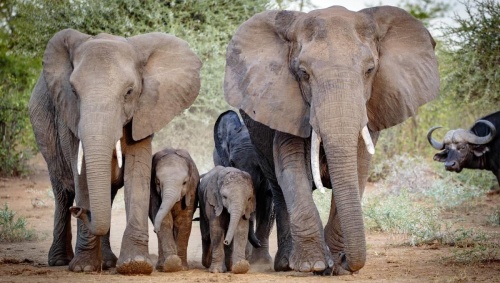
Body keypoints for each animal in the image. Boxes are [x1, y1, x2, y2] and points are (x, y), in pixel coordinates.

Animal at [28, 29, 201, 276]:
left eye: (129, 92)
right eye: (74, 91)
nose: (79, 210)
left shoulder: (144, 112)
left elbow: (137, 174)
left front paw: (135, 265)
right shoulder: (70, 119)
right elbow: (81, 175)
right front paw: (84, 267)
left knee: (105, 196)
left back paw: (108, 262)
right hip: (44, 130)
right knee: (62, 192)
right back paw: (61, 261)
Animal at [225, 5, 440, 276]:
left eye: (370, 70)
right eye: (303, 73)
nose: (348, 260)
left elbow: (358, 169)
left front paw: (336, 266)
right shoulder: (286, 104)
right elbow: (291, 169)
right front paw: (314, 265)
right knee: (278, 191)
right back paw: (285, 264)